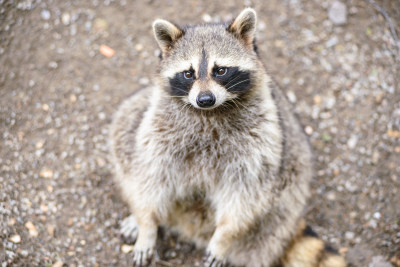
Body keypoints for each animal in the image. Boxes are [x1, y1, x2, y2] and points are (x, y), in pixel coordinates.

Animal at [108, 7, 344, 266]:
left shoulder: (260, 141)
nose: (205, 99)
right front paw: (148, 224)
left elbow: (245, 195)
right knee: (125, 125)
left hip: (291, 177)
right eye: (188, 74)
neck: (210, 113)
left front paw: (224, 236)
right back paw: (141, 217)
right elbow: (149, 175)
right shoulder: (159, 130)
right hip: (139, 113)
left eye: (220, 70)